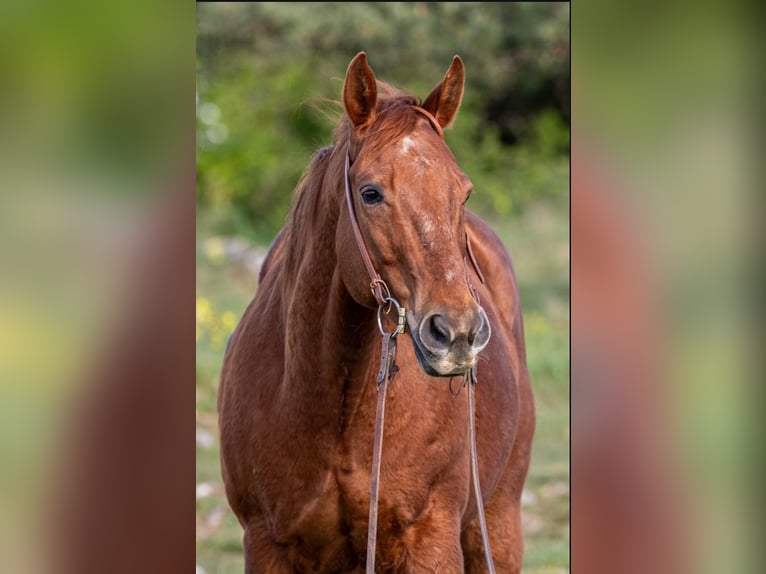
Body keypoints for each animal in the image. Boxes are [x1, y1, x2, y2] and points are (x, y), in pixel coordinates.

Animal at [218, 52, 535, 573]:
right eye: (370, 193)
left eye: (464, 193)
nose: (458, 332)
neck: (335, 406)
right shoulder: (266, 545)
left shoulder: (431, 543)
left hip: (499, 523)